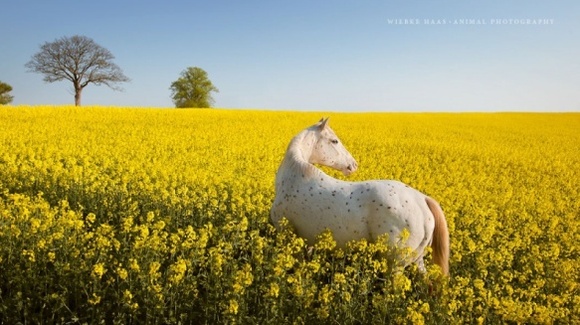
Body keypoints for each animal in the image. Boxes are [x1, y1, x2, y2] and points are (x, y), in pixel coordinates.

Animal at [270, 117, 450, 274]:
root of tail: (422, 199)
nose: (353, 165)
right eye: (334, 141)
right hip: (418, 260)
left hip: (396, 264)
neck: (295, 176)